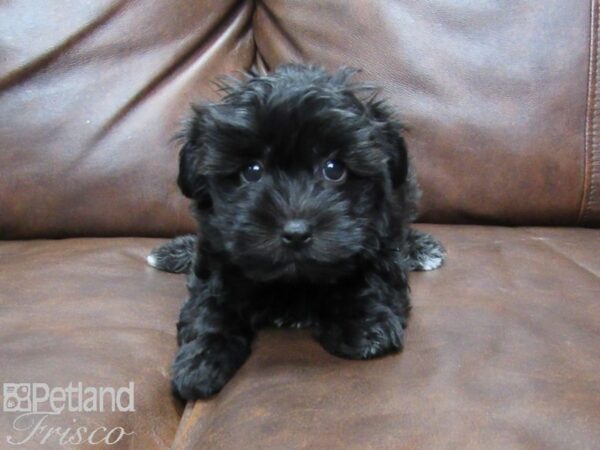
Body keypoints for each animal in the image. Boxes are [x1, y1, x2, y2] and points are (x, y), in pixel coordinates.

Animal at [148, 65, 442, 400]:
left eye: (333, 168)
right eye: (252, 171)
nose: (296, 232)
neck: (294, 280)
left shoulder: (382, 232)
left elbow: (373, 273)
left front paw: (364, 323)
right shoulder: (216, 250)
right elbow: (211, 302)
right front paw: (202, 357)